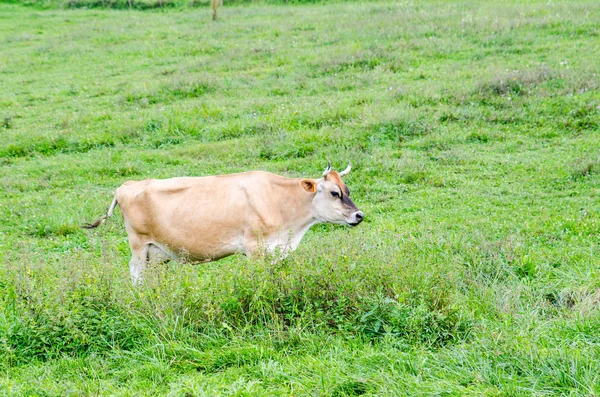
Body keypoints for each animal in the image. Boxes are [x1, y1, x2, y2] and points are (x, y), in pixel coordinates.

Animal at [83, 161, 366, 282]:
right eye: (334, 193)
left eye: (347, 189)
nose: (359, 215)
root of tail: (127, 185)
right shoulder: (254, 249)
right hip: (139, 246)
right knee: (135, 272)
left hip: (158, 252)